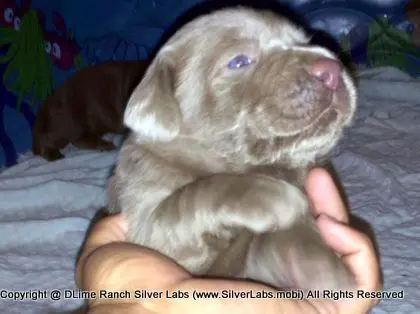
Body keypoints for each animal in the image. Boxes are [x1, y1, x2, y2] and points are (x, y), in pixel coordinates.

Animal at [107, 6, 358, 292]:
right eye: (239, 61)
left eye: (304, 41)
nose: (333, 69)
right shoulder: (147, 220)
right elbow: (191, 197)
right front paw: (276, 198)